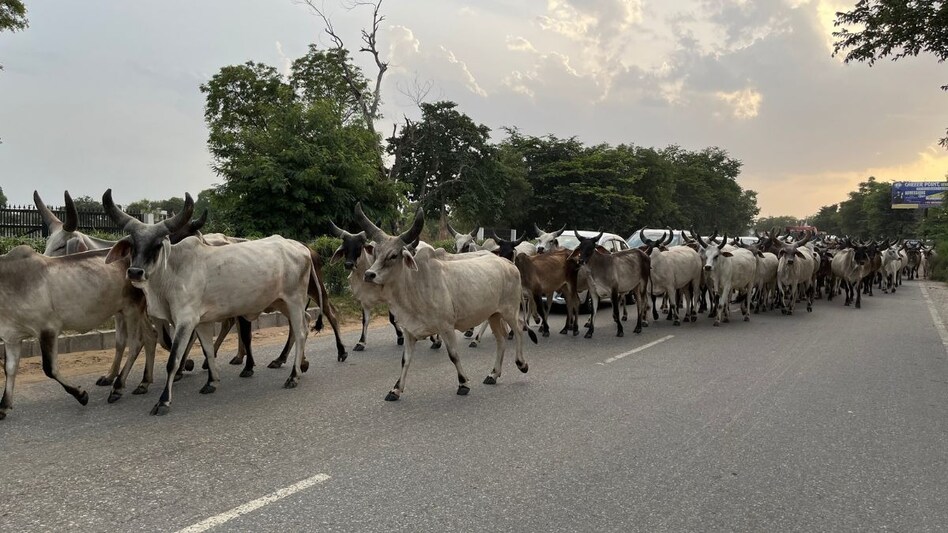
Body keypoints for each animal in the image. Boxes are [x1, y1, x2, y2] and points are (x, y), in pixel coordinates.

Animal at [103, 190, 317, 415]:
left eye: (157, 245)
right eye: (133, 245)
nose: (135, 272)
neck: (172, 272)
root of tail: (301, 247)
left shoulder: (185, 321)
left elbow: (173, 360)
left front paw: (163, 401)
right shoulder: (202, 322)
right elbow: (207, 349)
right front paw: (211, 381)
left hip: (294, 300)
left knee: (301, 332)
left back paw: (293, 375)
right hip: (282, 302)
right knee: (304, 323)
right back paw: (300, 365)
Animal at [354, 204, 535, 400]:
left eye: (393, 255)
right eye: (375, 253)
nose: (369, 274)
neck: (415, 286)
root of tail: (508, 263)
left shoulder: (446, 327)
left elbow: (453, 355)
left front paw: (463, 383)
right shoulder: (409, 331)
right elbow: (405, 360)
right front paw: (395, 389)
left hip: (509, 310)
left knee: (518, 329)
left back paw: (522, 363)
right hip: (493, 314)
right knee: (500, 339)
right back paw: (493, 374)